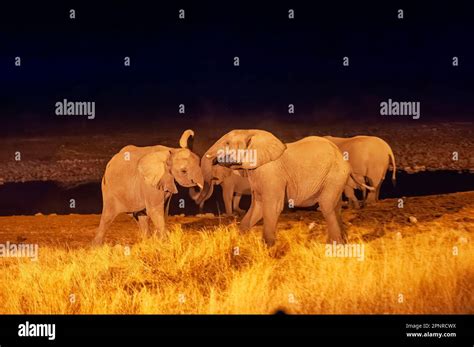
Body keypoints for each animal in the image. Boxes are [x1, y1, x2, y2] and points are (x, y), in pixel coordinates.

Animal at [194, 129, 372, 246]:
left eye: (227, 143)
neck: (252, 133)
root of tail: (344, 160)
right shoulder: (257, 173)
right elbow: (257, 206)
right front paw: (240, 239)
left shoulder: (271, 173)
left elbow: (272, 206)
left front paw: (269, 248)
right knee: (335, 207)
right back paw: (341, 241)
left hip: (335, 174)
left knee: (327, 205)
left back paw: (334, 245)